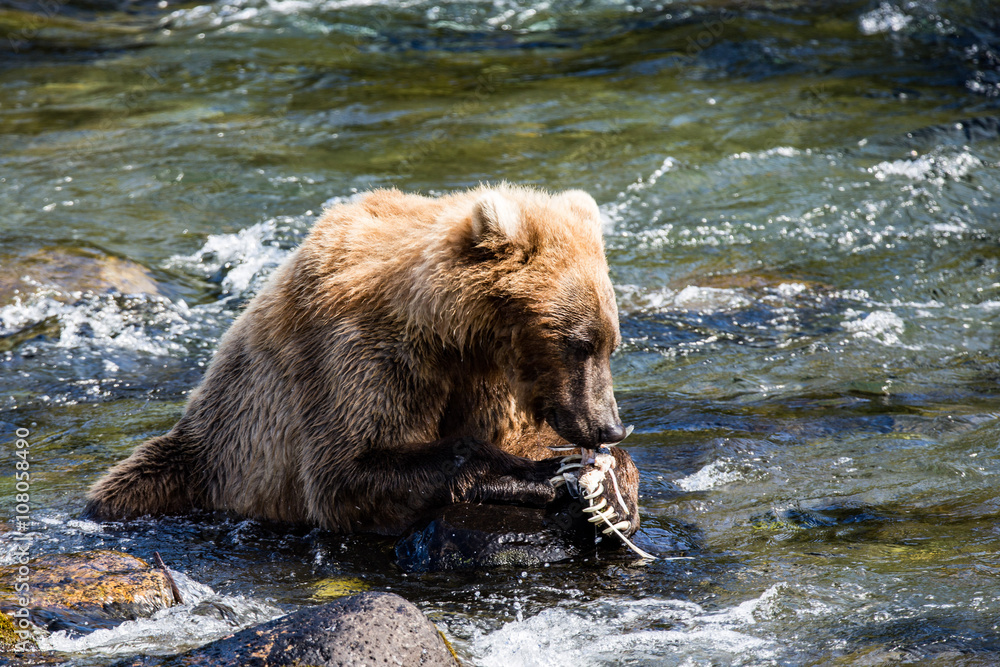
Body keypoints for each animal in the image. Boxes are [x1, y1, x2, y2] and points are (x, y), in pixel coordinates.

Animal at [84, 184, 641, 538]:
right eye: (578, 343)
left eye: (610, 343)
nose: (609, 426)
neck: (449, 330)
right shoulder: (361, 354)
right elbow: (349, 470)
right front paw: (536, 477)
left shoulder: (484, 374)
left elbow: (517, 432)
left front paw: (610, 491)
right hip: (211, 455)